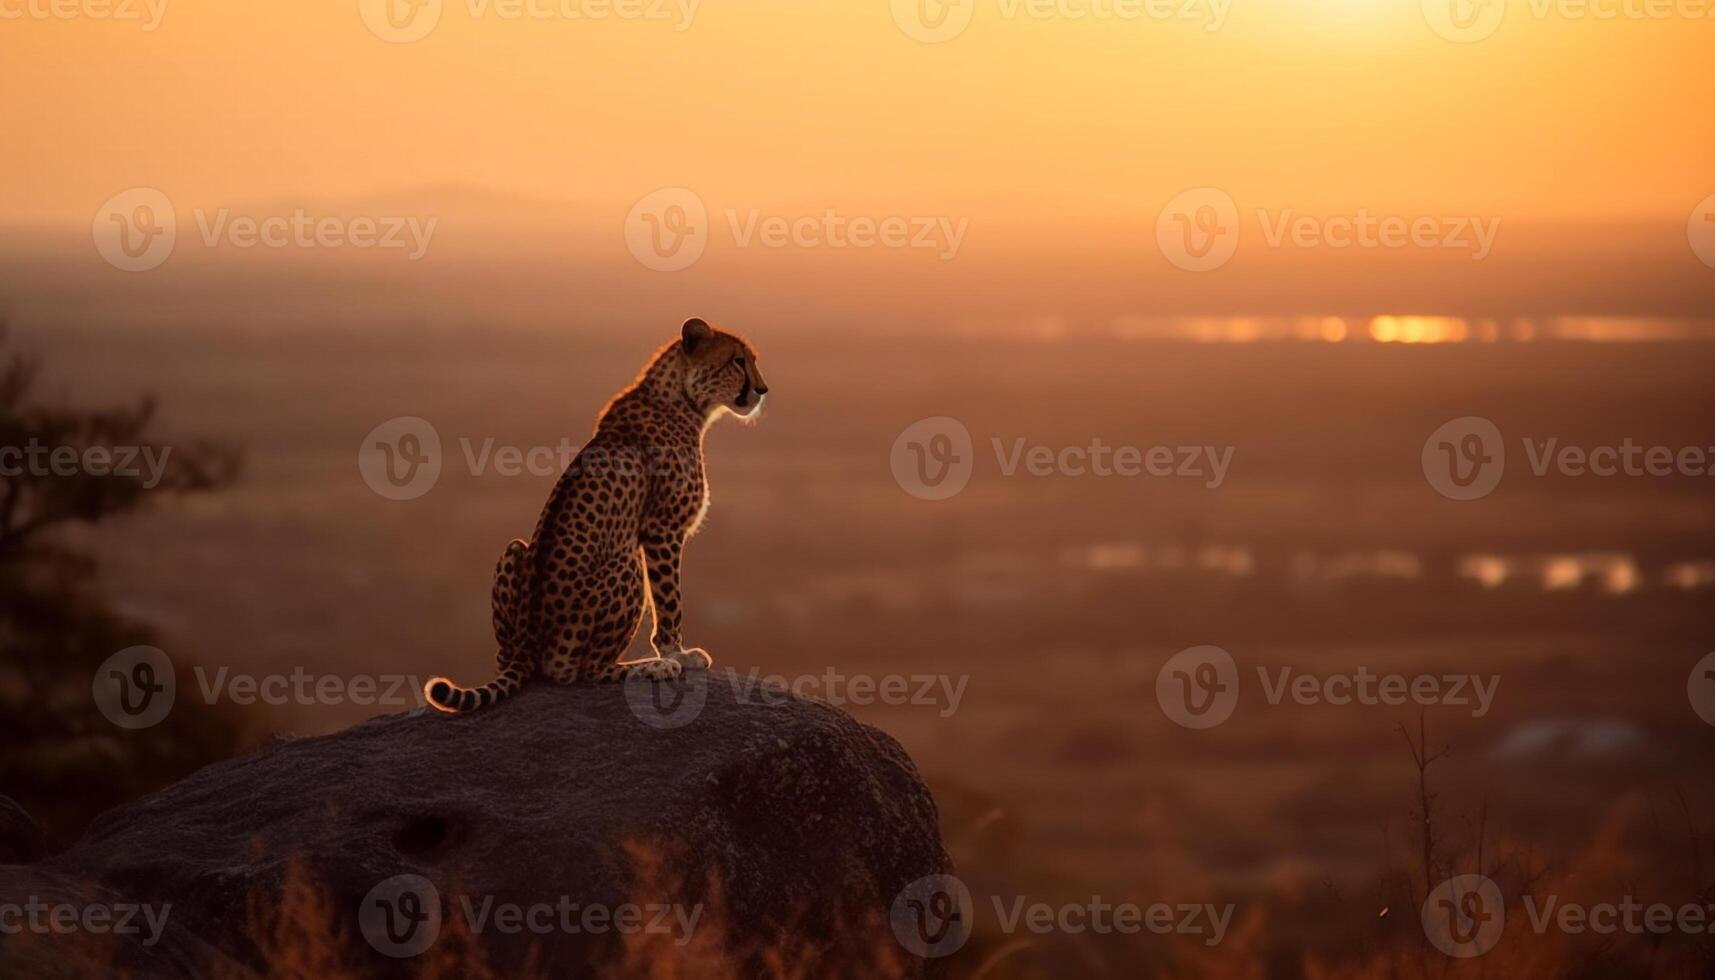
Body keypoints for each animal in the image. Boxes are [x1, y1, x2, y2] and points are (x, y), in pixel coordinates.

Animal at [425, 322, 775, 713]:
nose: (762, 390)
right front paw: (678, 654)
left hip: (515, 550)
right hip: (626, 564)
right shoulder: (662, 530)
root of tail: (529, 648)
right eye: (738, 361)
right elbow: (670, 601)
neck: (681, 398)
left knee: (510, 658)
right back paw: (651, 667)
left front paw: (676, 653)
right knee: (584, 670)